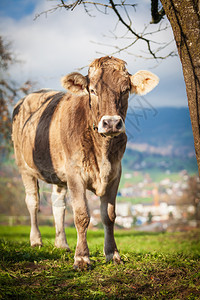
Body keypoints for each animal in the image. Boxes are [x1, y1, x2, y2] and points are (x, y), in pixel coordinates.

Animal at [12, 56, 159, 270]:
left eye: (125, 90)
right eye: (92, 90)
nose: (111, 123)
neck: (102, 150)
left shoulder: (115, 174)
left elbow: (109, 216)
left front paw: (112, 254)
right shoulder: (75, 174)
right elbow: (82, 215)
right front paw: (82, 258)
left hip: (58, 174)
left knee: (58, 204)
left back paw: (61, 244)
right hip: (24, 167)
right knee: (32, 202)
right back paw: (36, 240)